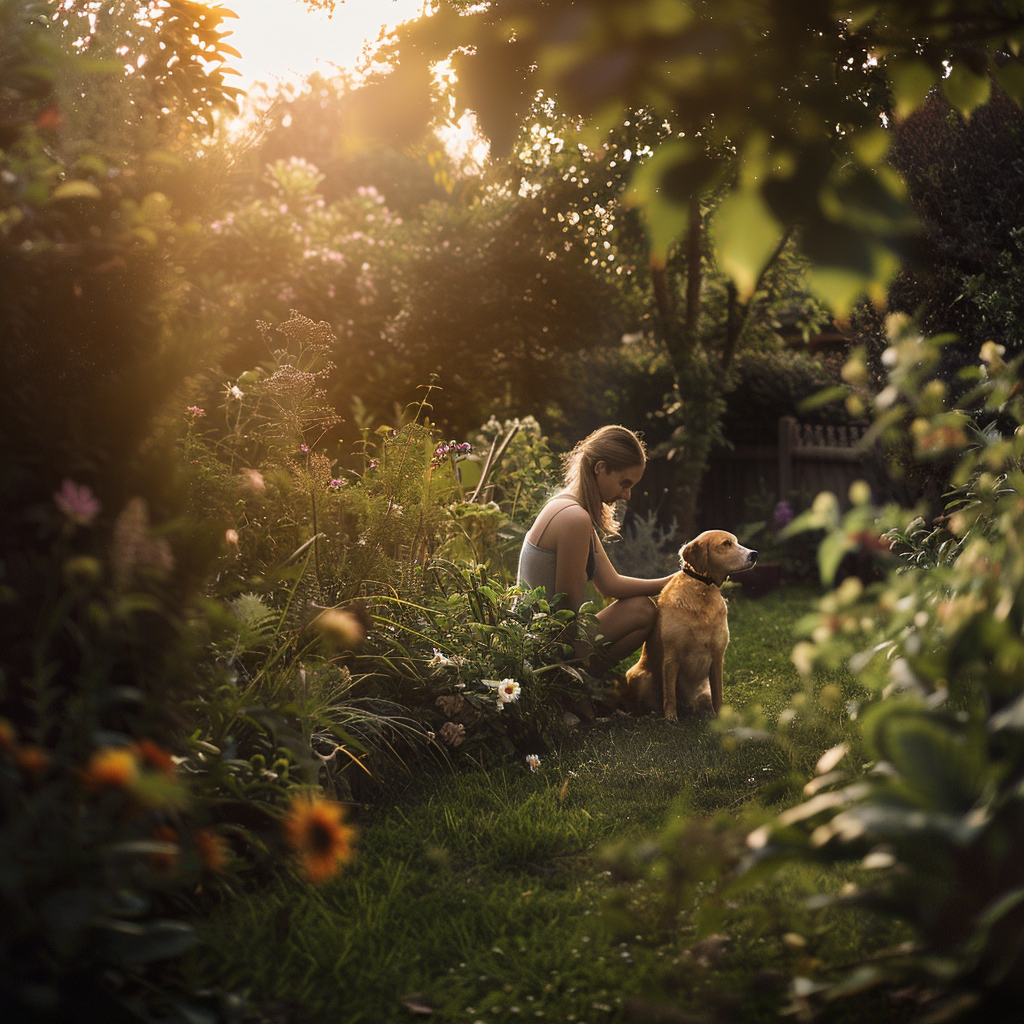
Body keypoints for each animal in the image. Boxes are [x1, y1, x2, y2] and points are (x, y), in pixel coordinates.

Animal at [618, 532, 757, 716]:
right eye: (727, 543)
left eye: (736, 542)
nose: (754, 554)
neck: (703, 590)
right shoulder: (672, 658)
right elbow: (670, 696)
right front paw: (671, 718)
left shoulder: (717, 658)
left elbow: (718, 695)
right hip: (641, 677)